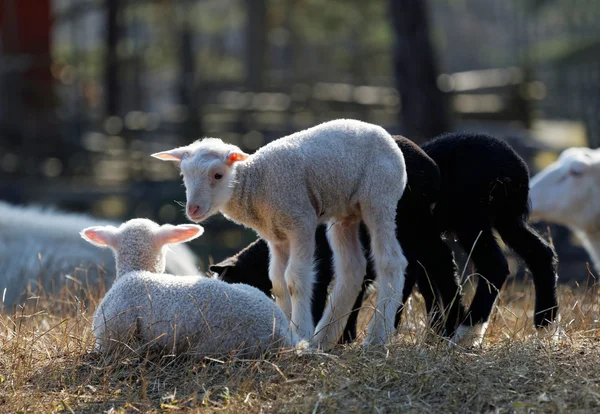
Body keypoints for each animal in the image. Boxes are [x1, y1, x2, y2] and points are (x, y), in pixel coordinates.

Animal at [152, 119, 410, 350]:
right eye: (184, 175)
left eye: (218, 175)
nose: (192, 210)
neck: (255, 185)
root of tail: (382, 133)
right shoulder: (275, 236)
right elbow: (277, 281)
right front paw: (285, 327)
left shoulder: (300, 223)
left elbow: (294, 279)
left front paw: (300, 331)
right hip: (344, 214)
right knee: (352, 268)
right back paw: (323, 339)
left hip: (379, 196)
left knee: (391, 262)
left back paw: (377, 337)